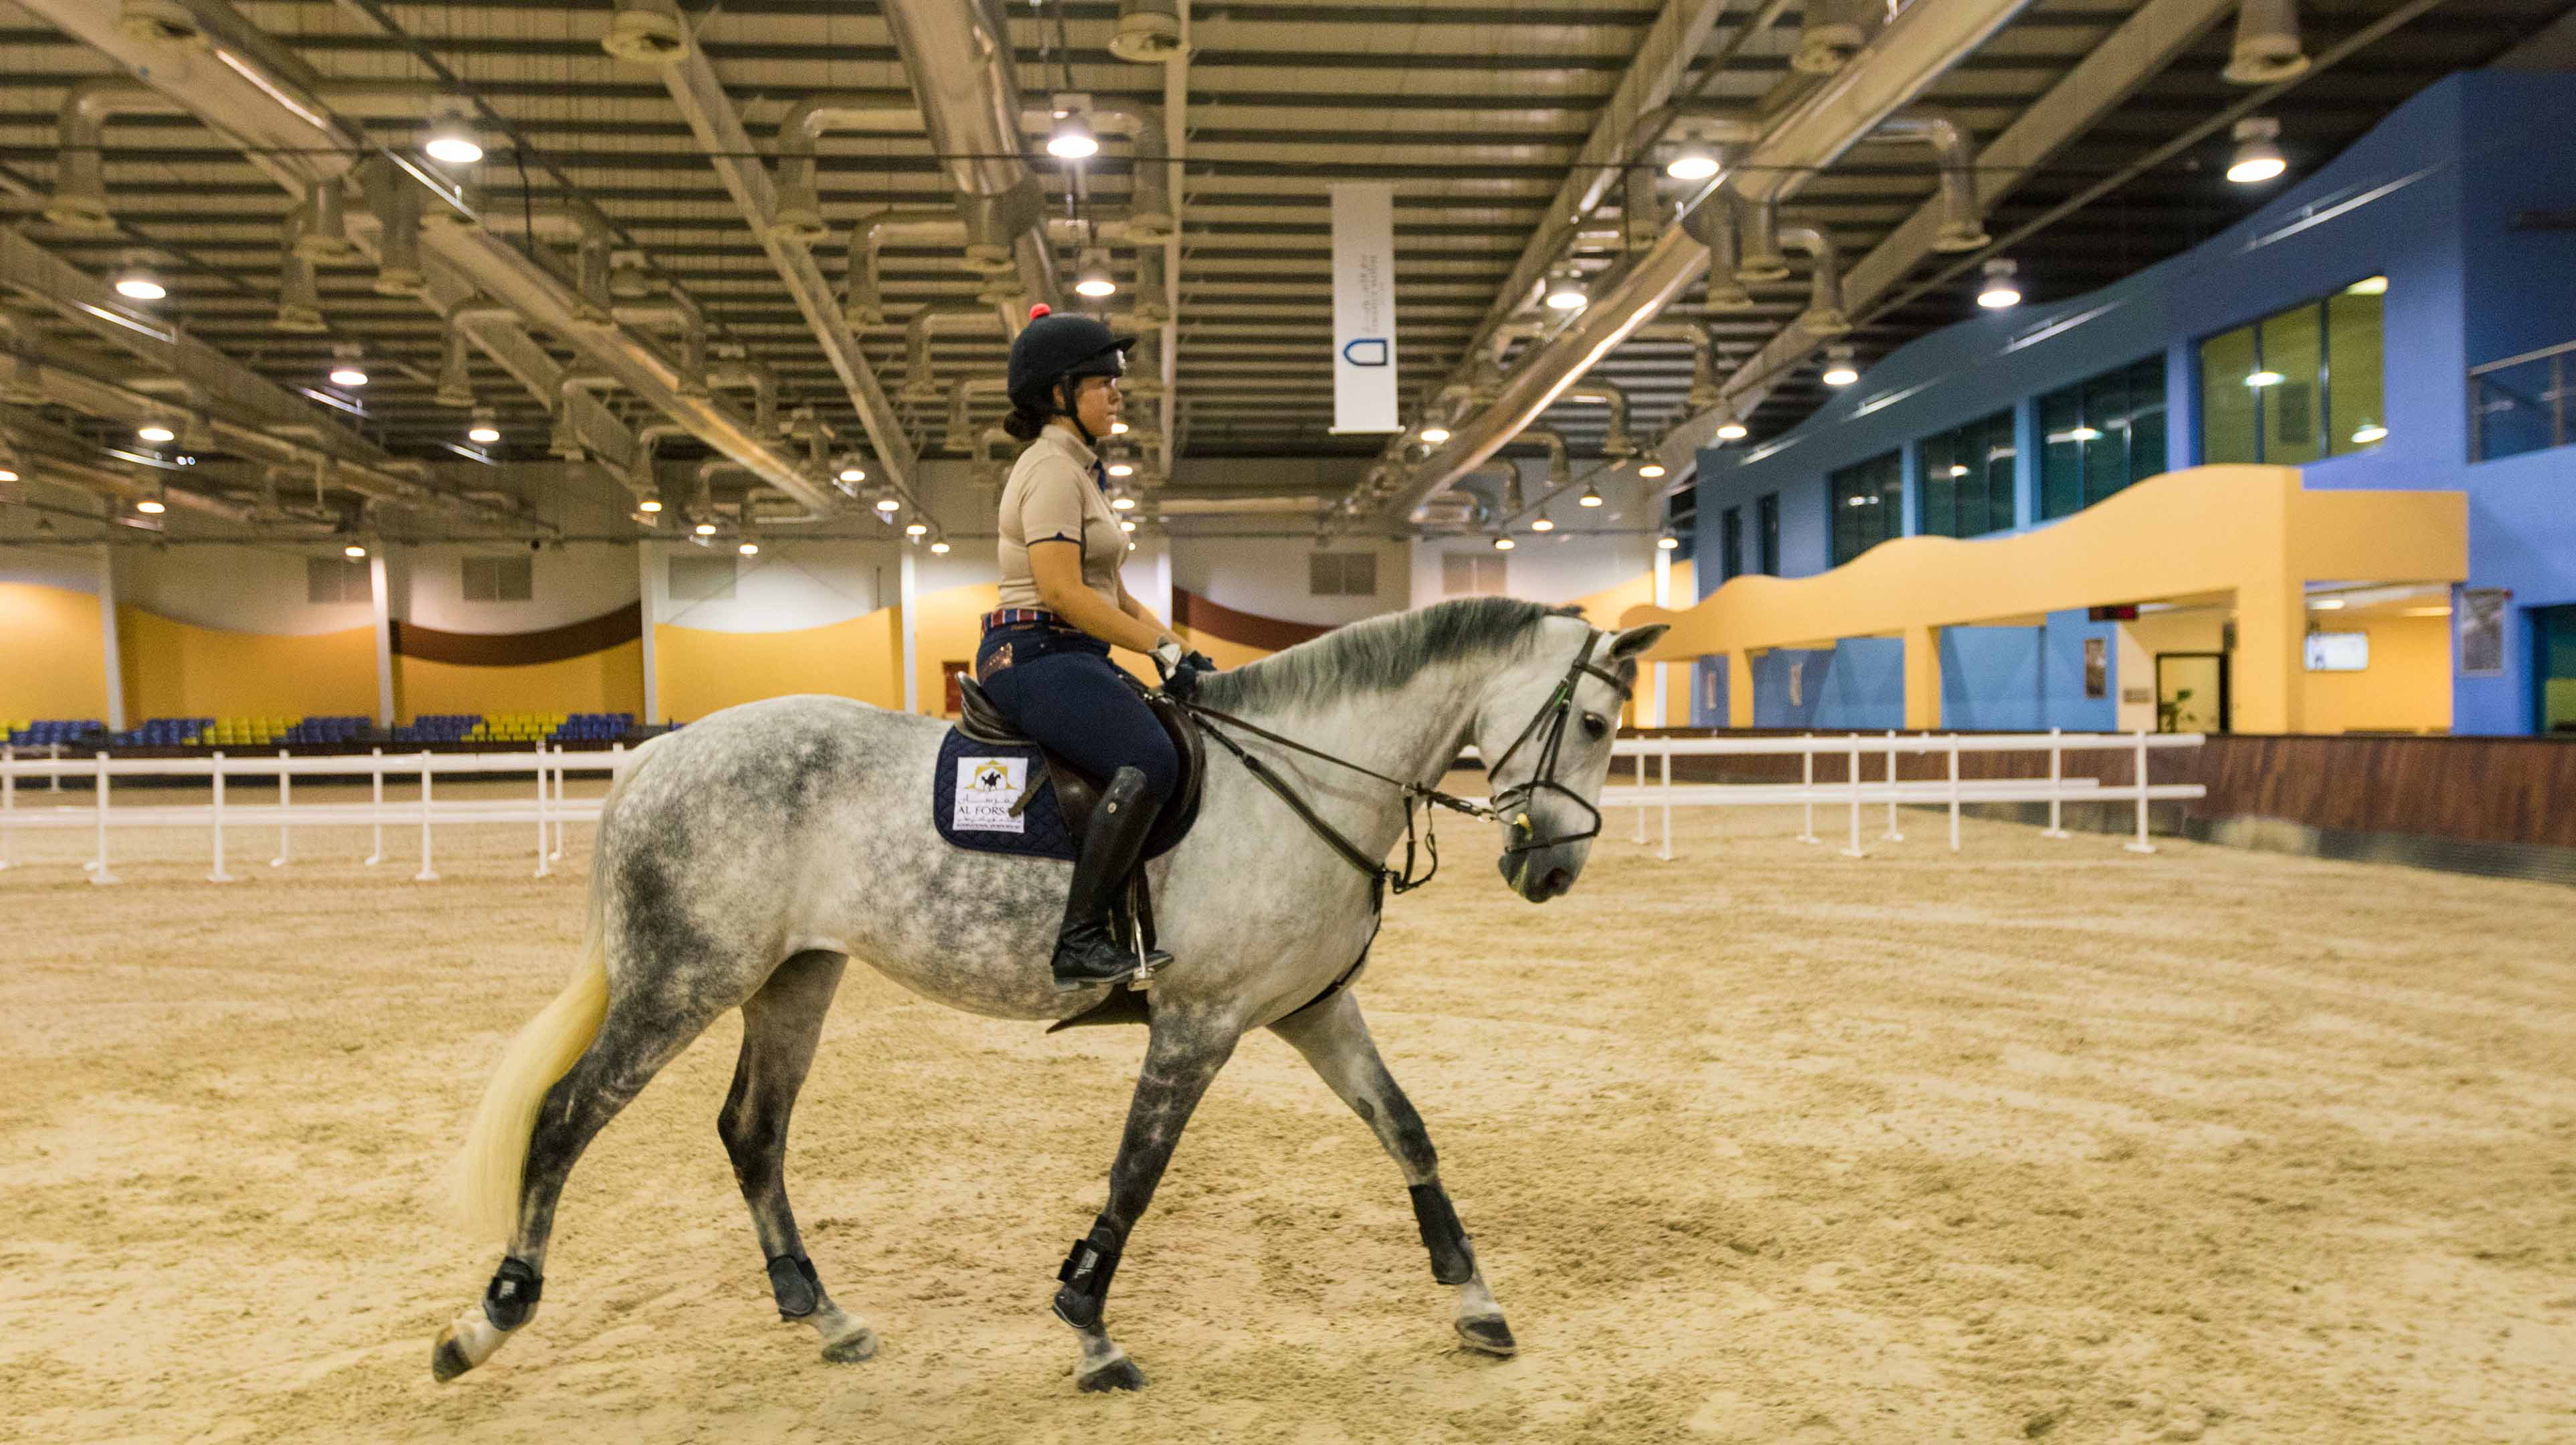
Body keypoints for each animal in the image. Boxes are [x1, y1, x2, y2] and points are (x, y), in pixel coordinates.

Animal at [432, 595, 1659, 1391]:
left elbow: (1406, 1131)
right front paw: (1089, 1327)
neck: (1301, 777)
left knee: (751, 1133)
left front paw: (1475, 1300)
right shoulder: (1201, 1022)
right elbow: (1138, 1172)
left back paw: (824, 1317)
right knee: (567, 1118)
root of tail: (657, 756)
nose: (1552, 872)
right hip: (683, 979)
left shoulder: (1312, 1010)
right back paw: (489, 1321)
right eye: (1597, 724)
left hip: (791, 979)